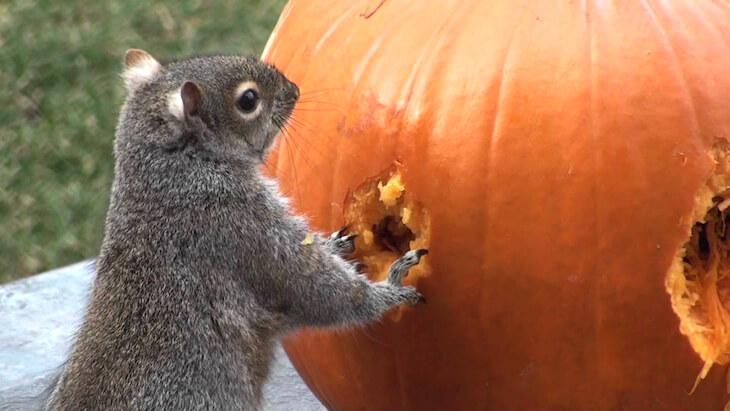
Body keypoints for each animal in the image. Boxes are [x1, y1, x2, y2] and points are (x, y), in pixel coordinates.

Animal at [41, 50, 426, 410]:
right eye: (248, 100)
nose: (294, 90)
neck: (172, 176)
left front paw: (335, 243)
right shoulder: (240, 226)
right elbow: (318, 290)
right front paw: (391, 288)